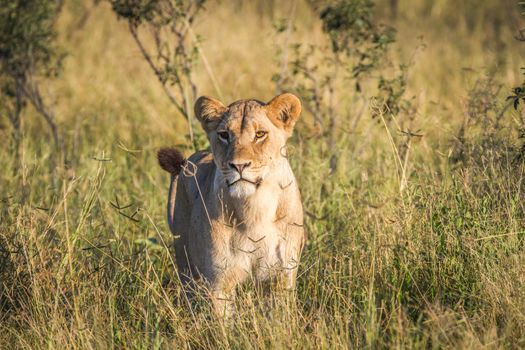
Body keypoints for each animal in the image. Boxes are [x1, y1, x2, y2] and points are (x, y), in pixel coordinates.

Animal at [157, 92, 302, 314]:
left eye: (260, 134)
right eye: (224, 135)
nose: (239, 165)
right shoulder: (218, 283)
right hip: (185, 261)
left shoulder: (281, 277)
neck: (255, 208)